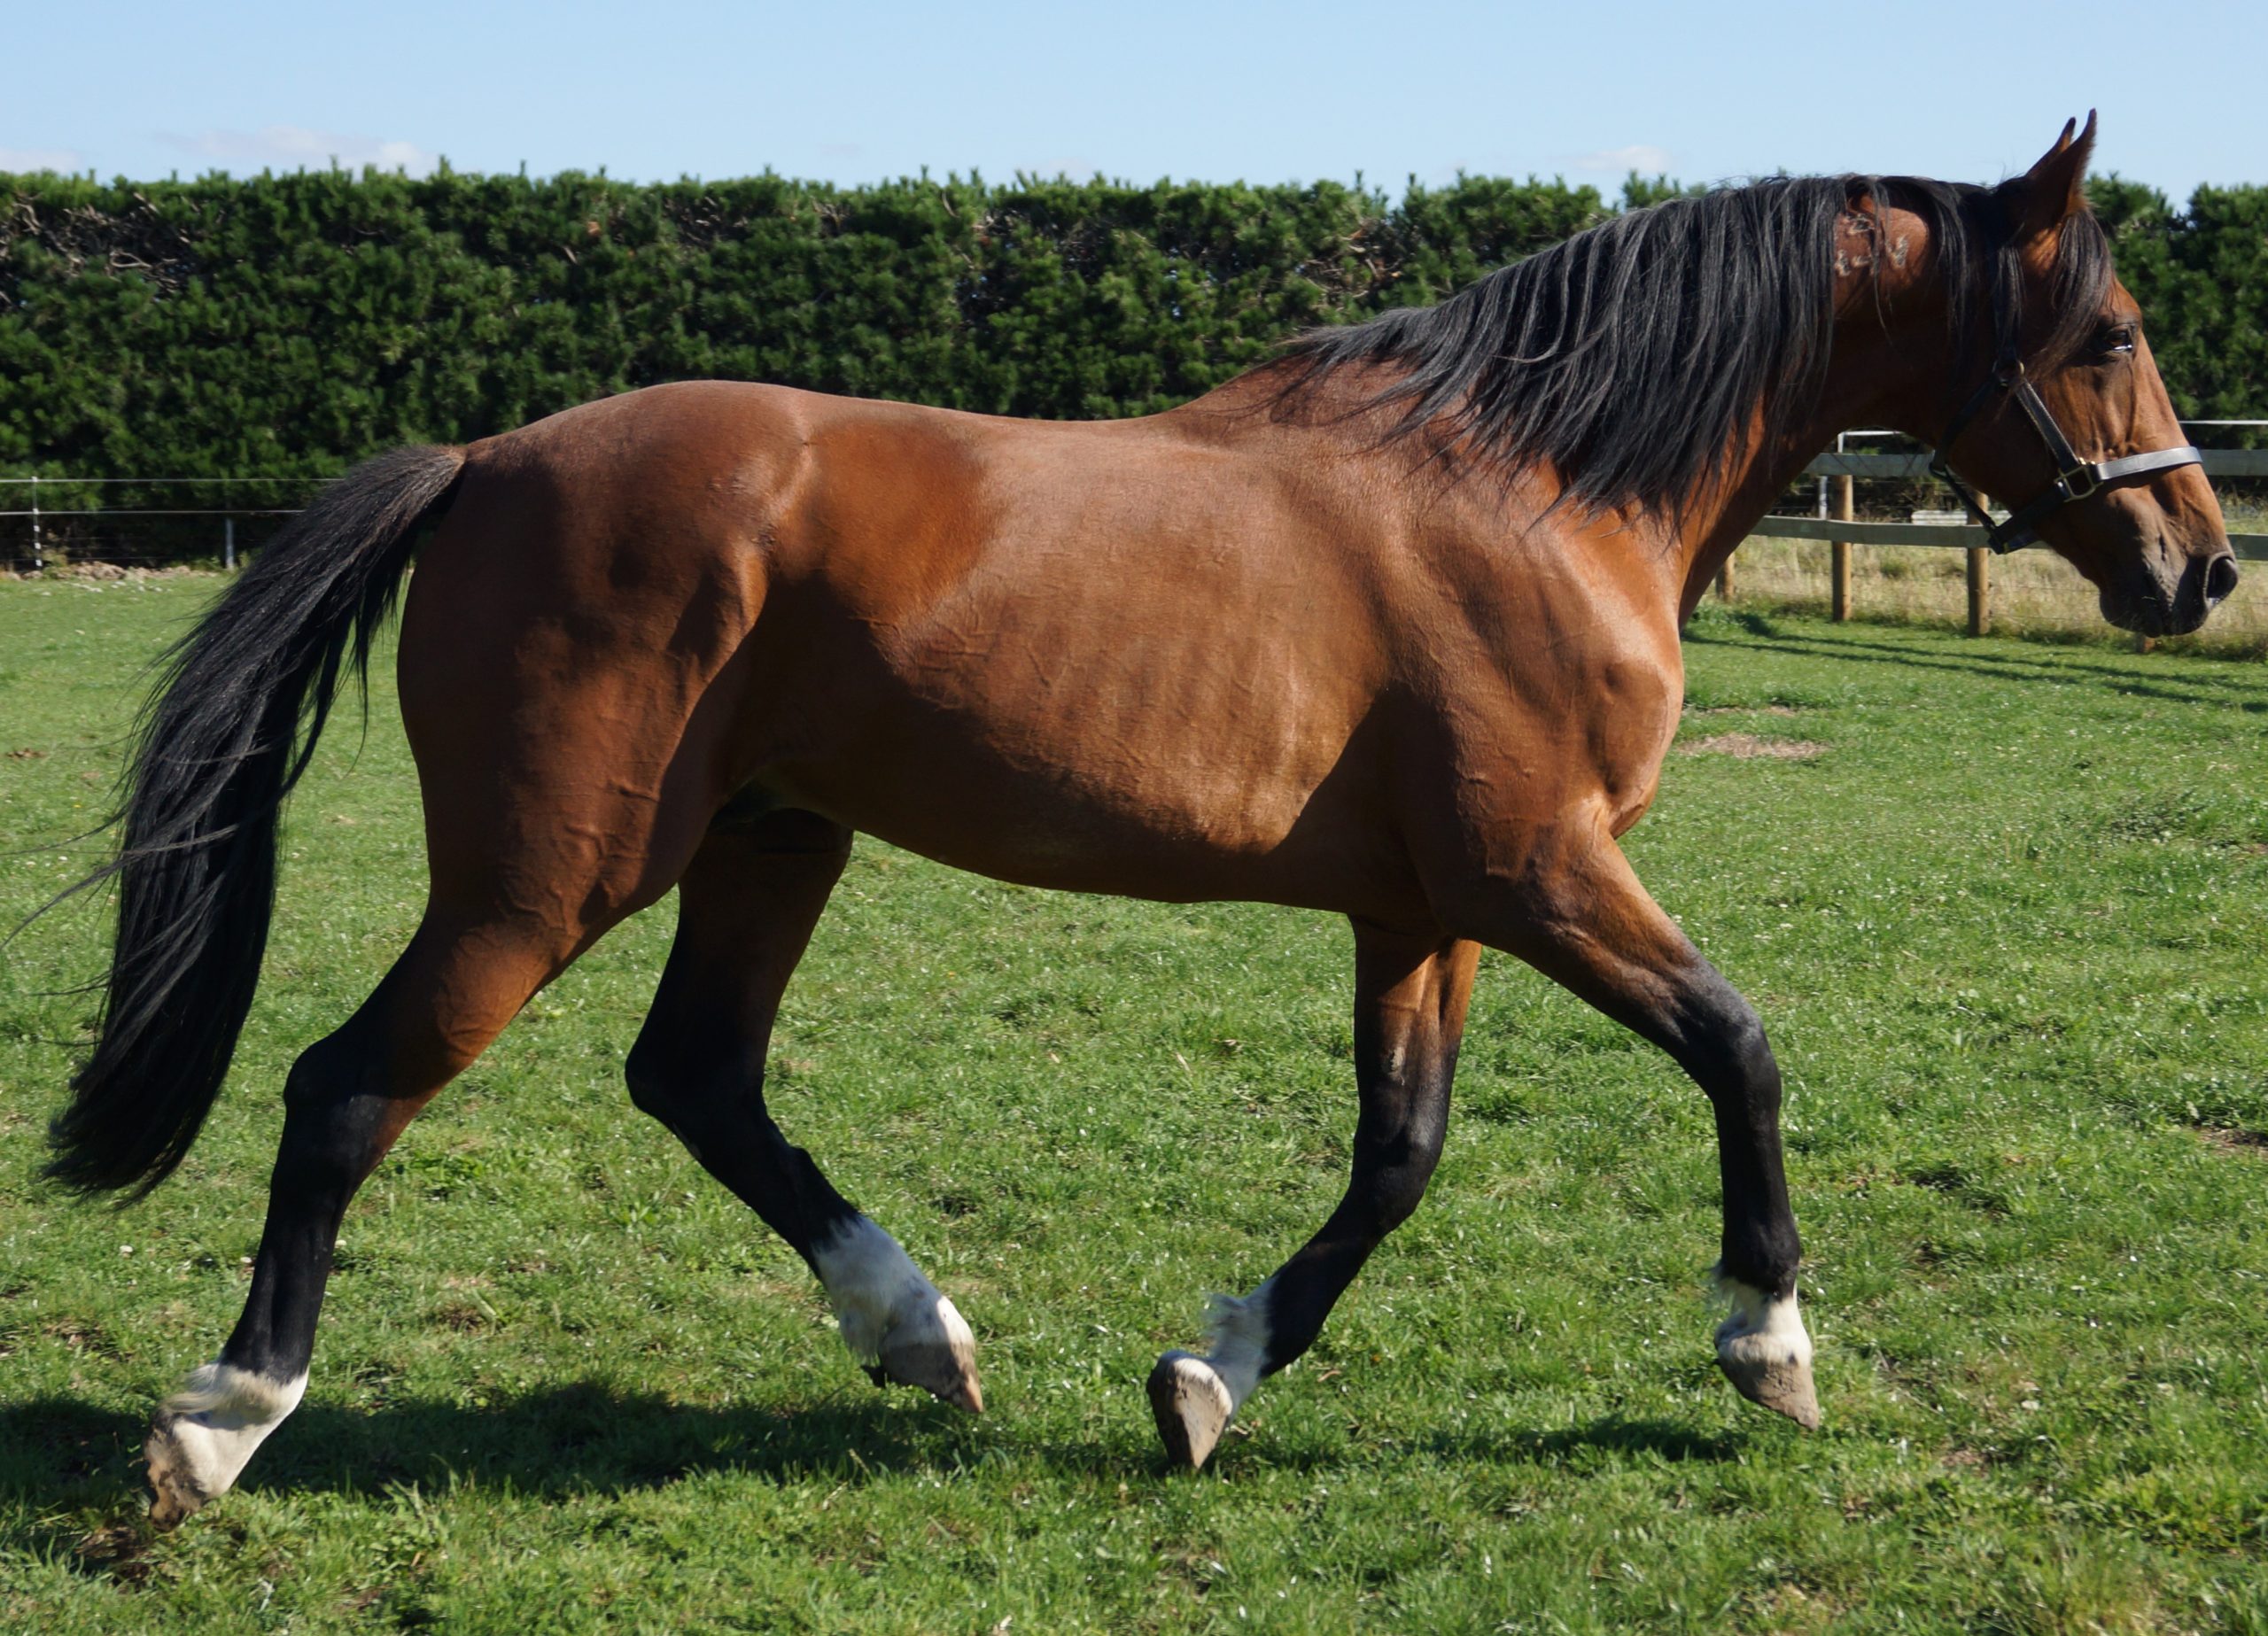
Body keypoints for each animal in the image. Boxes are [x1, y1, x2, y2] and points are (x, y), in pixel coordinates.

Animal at [39, 116, 2235, 1525]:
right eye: (2107, 333)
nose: (2198, 569)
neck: (1535, 481)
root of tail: (489, 457)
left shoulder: (1419, 907)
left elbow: (1395, 1156)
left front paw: (1208, 1375)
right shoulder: (1539, 869)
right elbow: (1738, 1043)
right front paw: (1763, 1335)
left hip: (769, 837)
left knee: (697, 1075)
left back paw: (917, 1333)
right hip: (544, 870)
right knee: (349, 1085)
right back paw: (220, 1419)